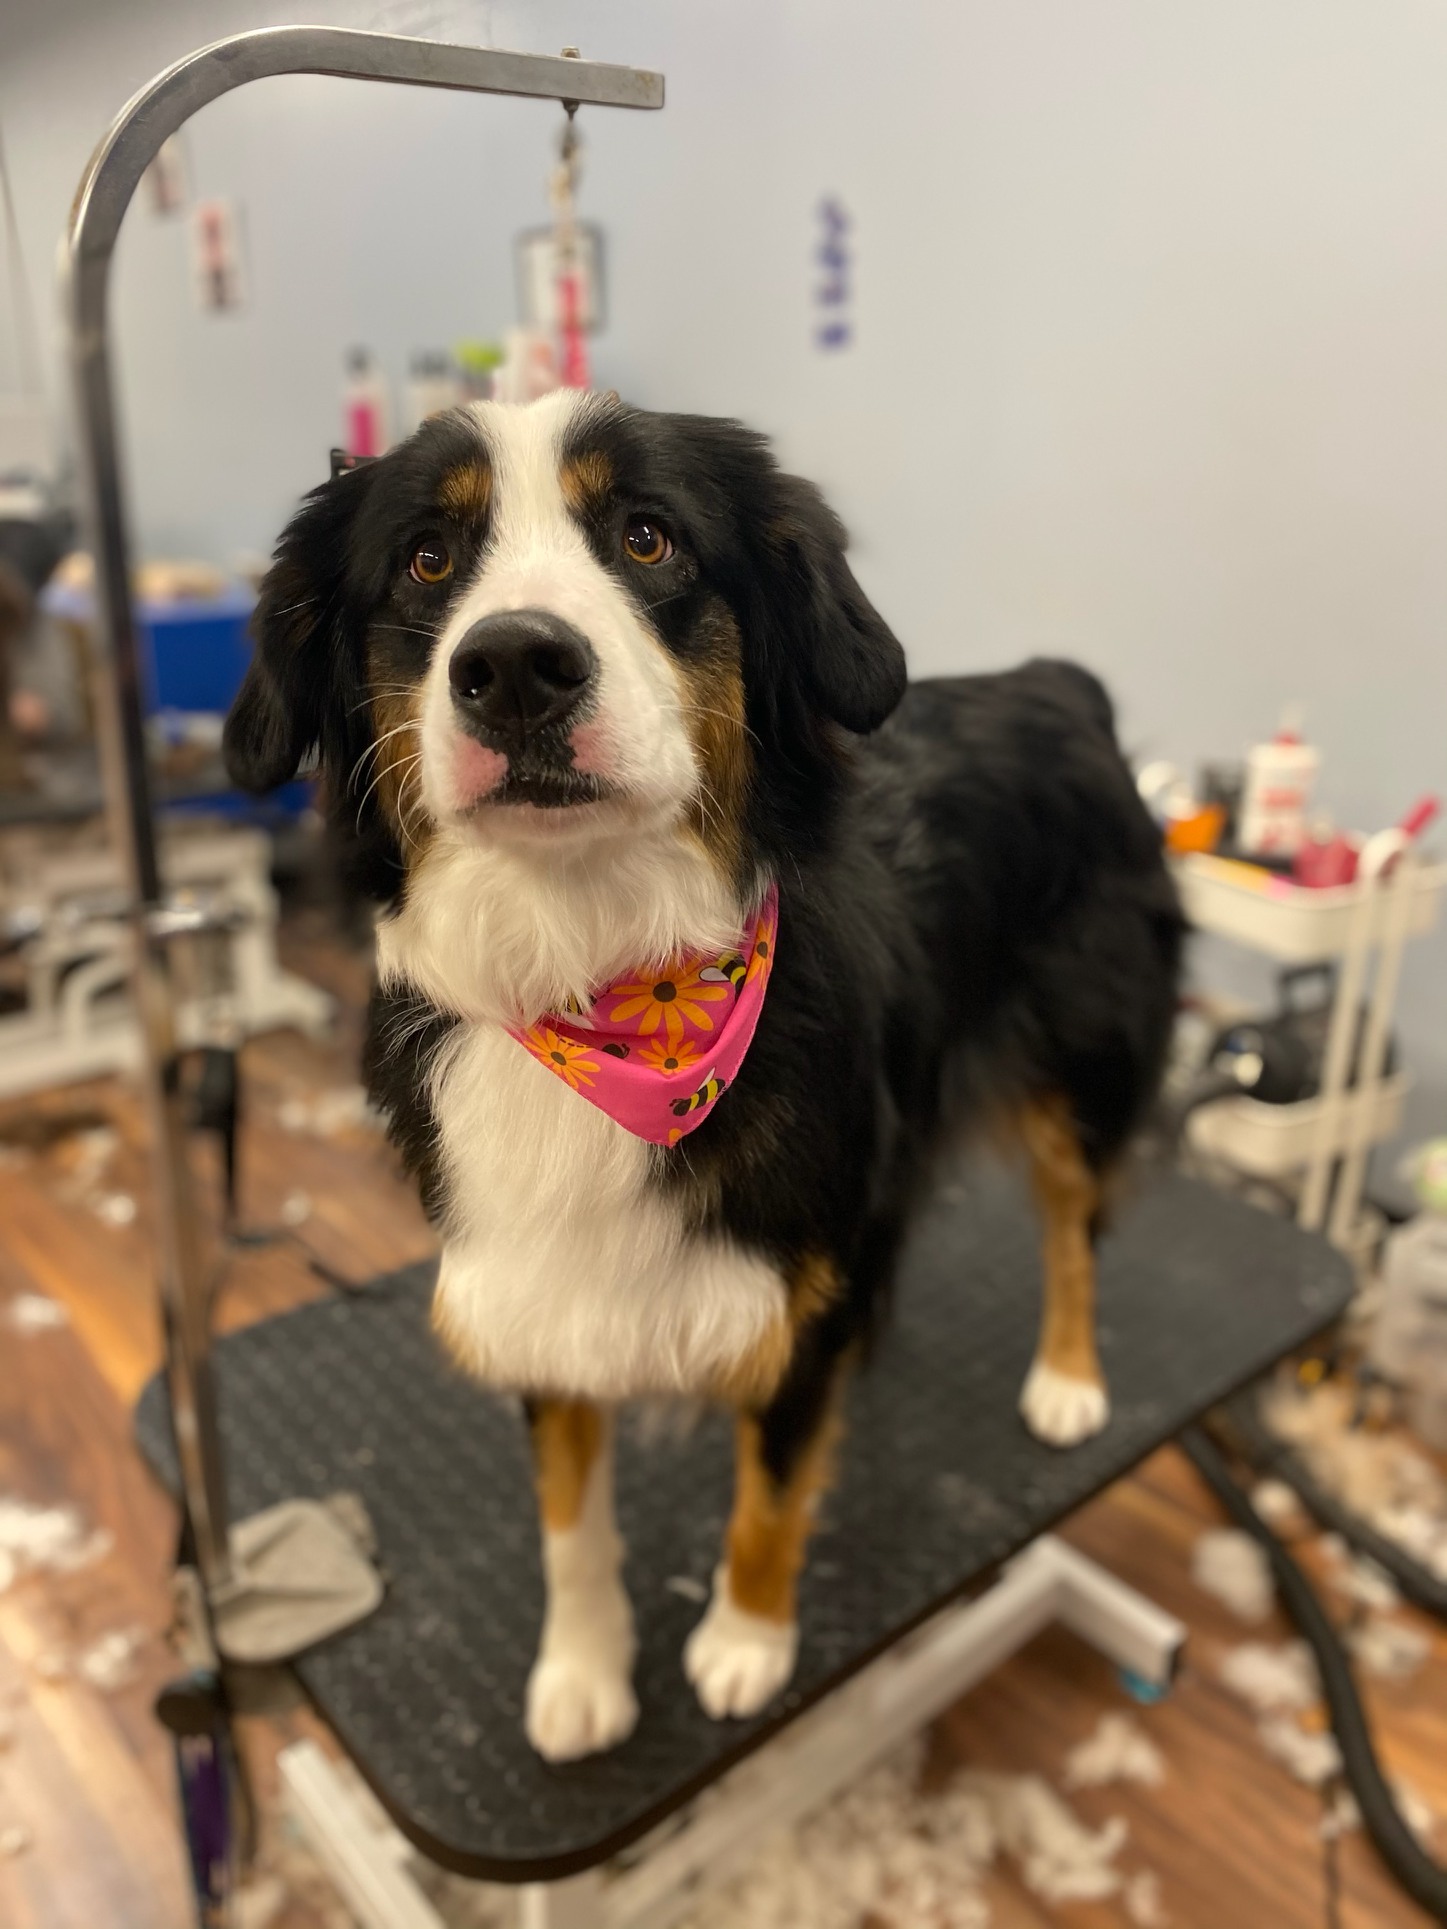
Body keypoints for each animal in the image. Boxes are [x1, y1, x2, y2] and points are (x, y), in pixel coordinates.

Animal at [224, 390, 1183, 1762]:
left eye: (647, 536)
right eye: (425, 559)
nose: (515, 666)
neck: (598, 976)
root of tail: (1058, 683)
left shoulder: (803, 1293)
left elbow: (770, 1494)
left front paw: (744, 1643)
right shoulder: (538, 1295)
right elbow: (569, 1522)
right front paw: (582, 1676)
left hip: (1080, 1063)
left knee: (1071, 1229)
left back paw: (1065, 1380)